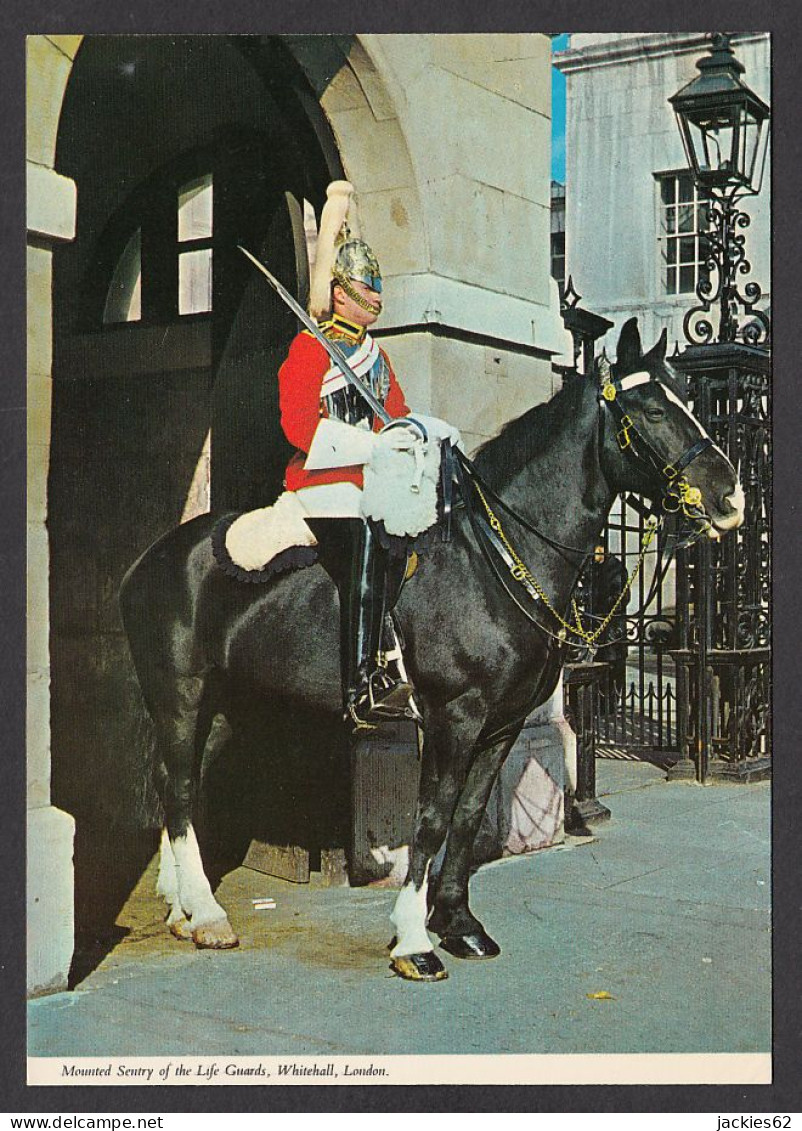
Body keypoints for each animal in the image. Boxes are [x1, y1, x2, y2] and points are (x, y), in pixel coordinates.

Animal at [120, 318, 746, 981]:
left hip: (220, 705)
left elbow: (467, 817)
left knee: (180, 783)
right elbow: (433, 817)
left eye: (686, 397)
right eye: (652, 408)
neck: (495, 552)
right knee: (178, 788)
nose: (730, 499)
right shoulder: (454, 717)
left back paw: (181, 906)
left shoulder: (503, 723)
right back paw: (208, 914)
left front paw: (460, 924)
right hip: (181, 695)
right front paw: (414, 939)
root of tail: (151, 558)